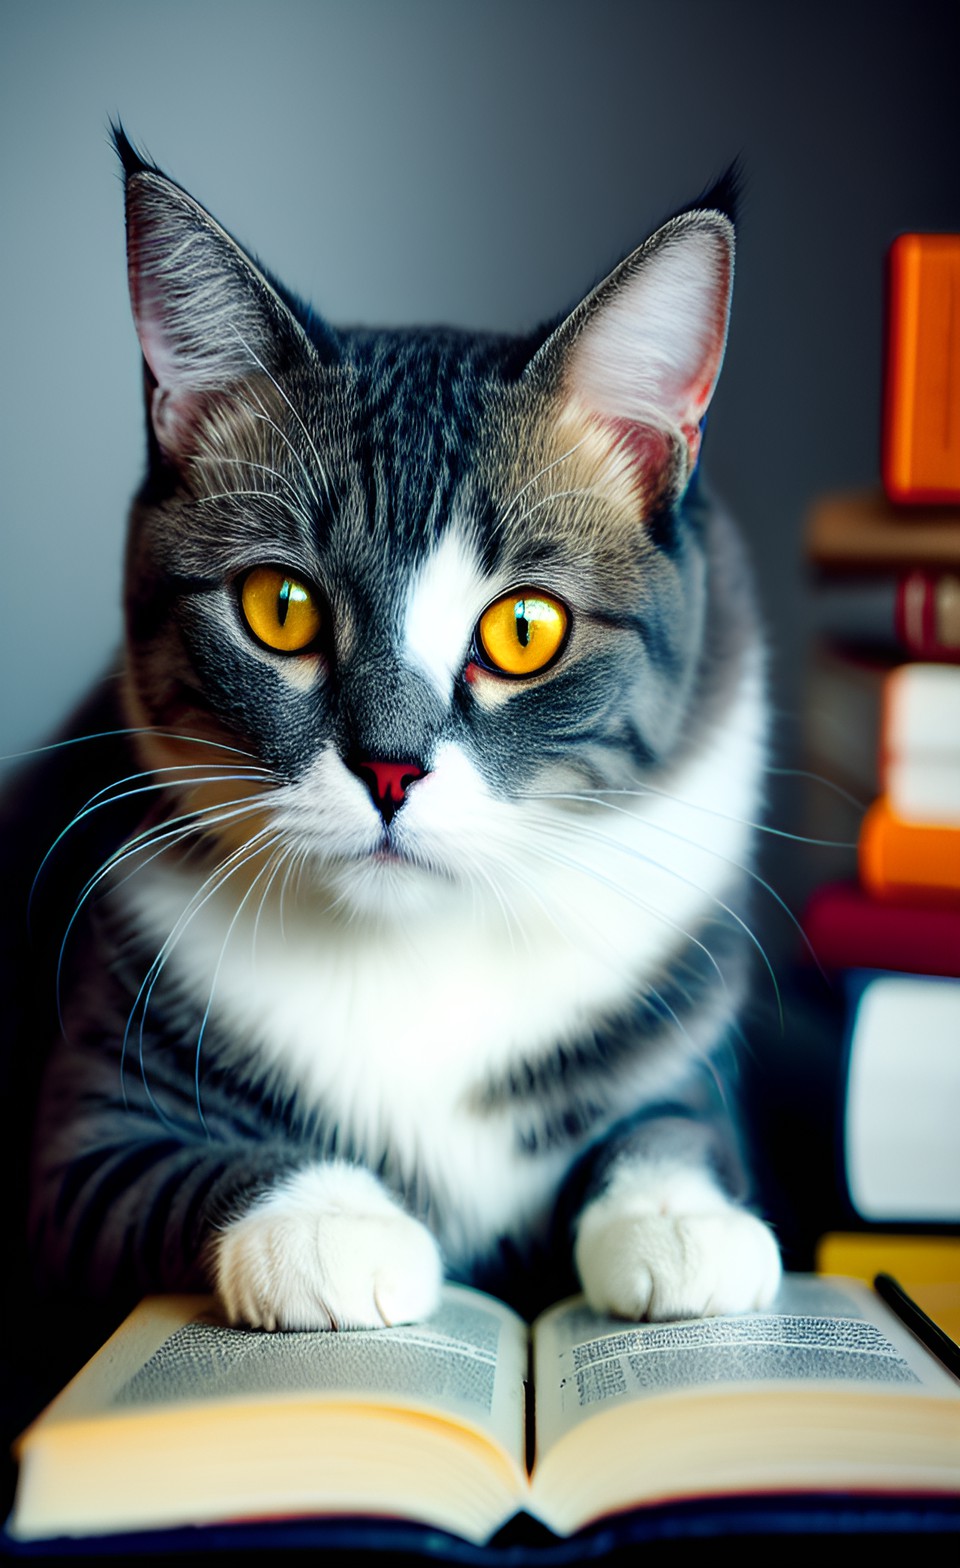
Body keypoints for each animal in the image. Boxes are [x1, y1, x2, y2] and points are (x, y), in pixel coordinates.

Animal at [9, 128, 781, 1354]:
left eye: (525, 629)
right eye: (280, 608)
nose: (389, 767)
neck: (414, 944)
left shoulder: (681, 1041)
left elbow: (673, 1123)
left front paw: (680, 1220)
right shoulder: (87, 1130)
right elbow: (162, 1166)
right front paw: (330, 1224)